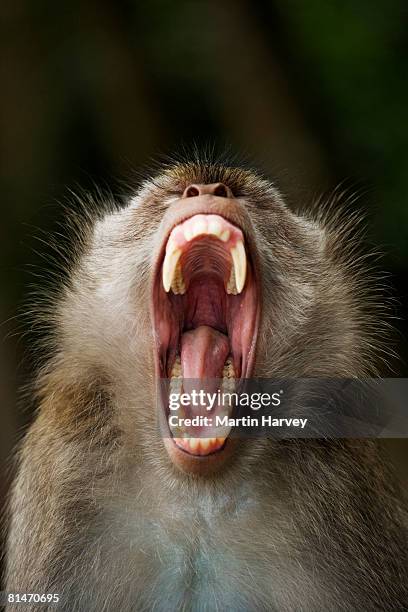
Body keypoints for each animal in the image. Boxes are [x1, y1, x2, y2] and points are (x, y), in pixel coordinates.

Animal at [3, 160, 408, 608]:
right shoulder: (66, 467)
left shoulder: (347, 492)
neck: (200, 500)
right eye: (174, 193)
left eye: (247, 195)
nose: (209, 190)